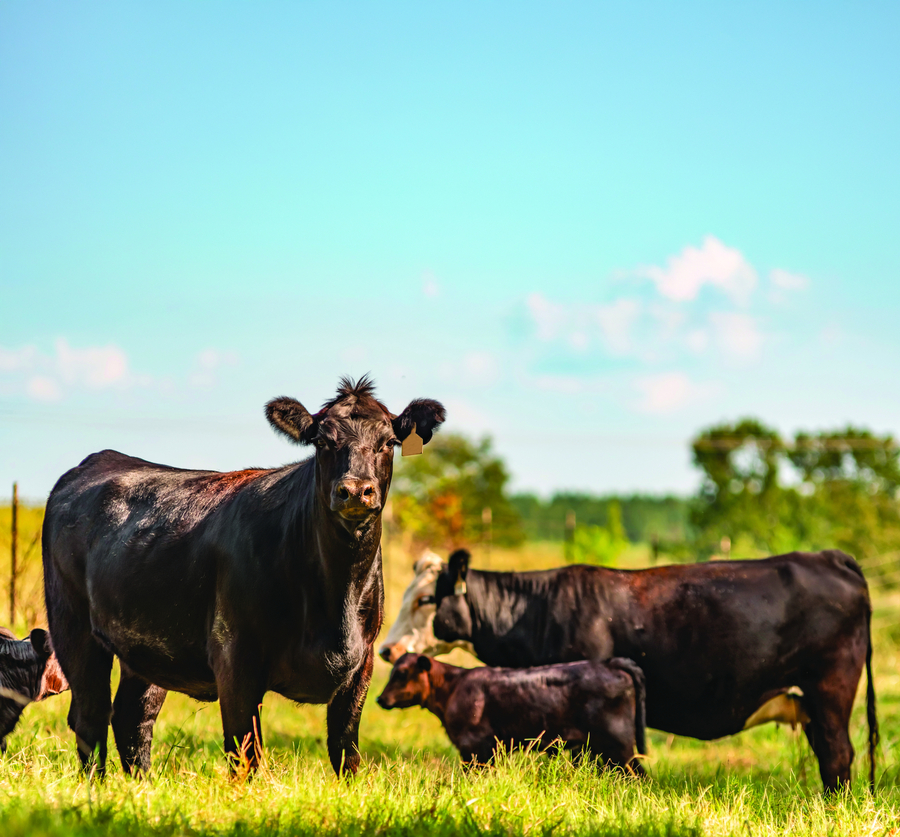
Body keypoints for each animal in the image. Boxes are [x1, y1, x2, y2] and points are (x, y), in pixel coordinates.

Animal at [42, 376, 445, 778]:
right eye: (322, 441)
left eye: (388, 442)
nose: (356, 490)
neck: (336, 598)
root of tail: (102, 460)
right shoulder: (235, 657)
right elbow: (246, 753)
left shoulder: (362, 663)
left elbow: (346, 753)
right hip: (73, 624)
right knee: (90, 715)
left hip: (146, 645)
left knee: (133, 717)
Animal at [377, 652, 647, 775]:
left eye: (402, 674)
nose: (380, 698)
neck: (454, 686)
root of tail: (609, 663)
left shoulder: (475, 746)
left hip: (619, 746)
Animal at [431, 548, 878, 792]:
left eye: (425, 601)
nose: (400, 648)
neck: (537, 609)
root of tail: (827, 557)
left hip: (831, 687)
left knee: (837, 753)